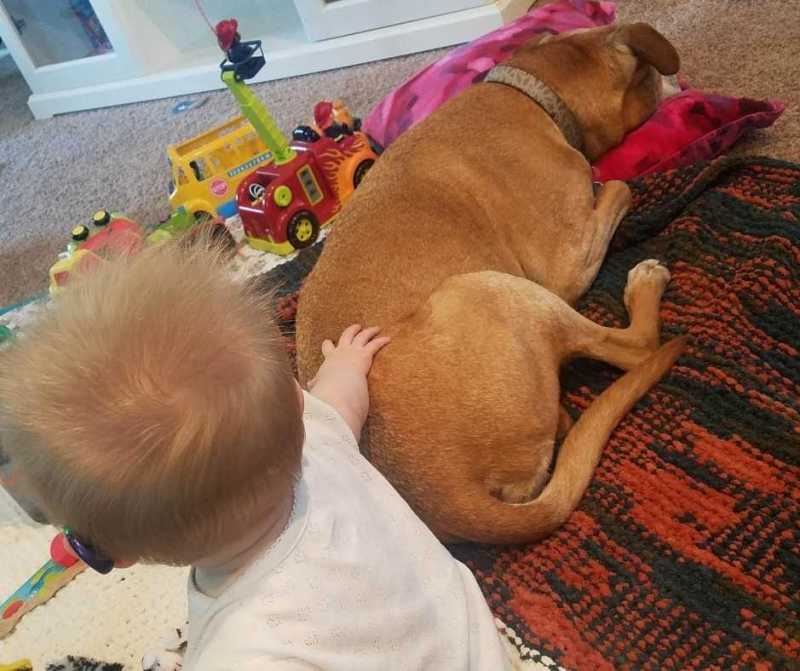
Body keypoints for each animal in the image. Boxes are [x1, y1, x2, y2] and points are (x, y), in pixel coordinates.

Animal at [296, 25, 684, 544]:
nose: (680, 86)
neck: (532, 93)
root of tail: (446, 494)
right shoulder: (566, 260)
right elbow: (618, 187)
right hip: (494, 289)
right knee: (637, 348)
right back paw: (644, 285)